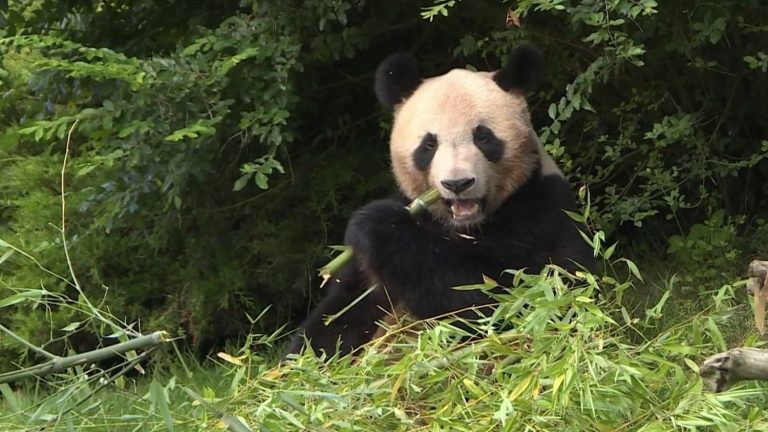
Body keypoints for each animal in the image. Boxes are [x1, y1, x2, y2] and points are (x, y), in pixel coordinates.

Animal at [288, 44, 592, 358]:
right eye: (429, 144)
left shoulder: (541, 211)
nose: (458, 184)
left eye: (483, 137)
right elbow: (344, 312)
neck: (467, 225)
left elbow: (508, 300)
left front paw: (377, 224)